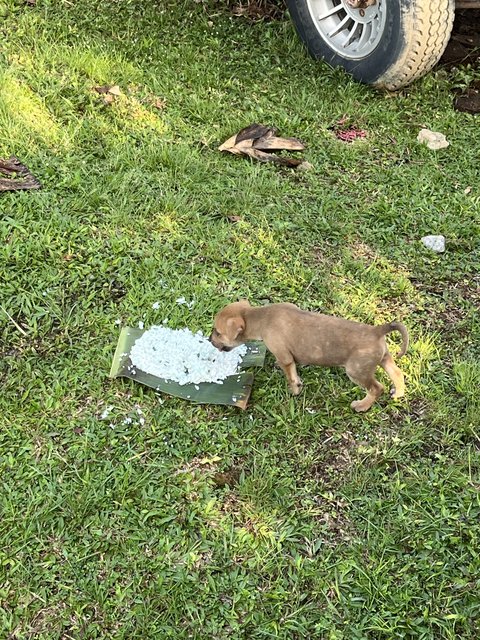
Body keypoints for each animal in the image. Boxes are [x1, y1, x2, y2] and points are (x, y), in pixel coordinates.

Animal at [211, 302, 408, 412]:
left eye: (218, 333)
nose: (209, 340)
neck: (261, 317)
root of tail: (377, 330)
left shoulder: (285, 357)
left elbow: (291, 377)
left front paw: (295, 390)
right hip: (384, 358)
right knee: (398, 373)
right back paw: (398, 393)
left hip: (357, 371)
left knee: (376, 388)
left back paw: (361, 406)